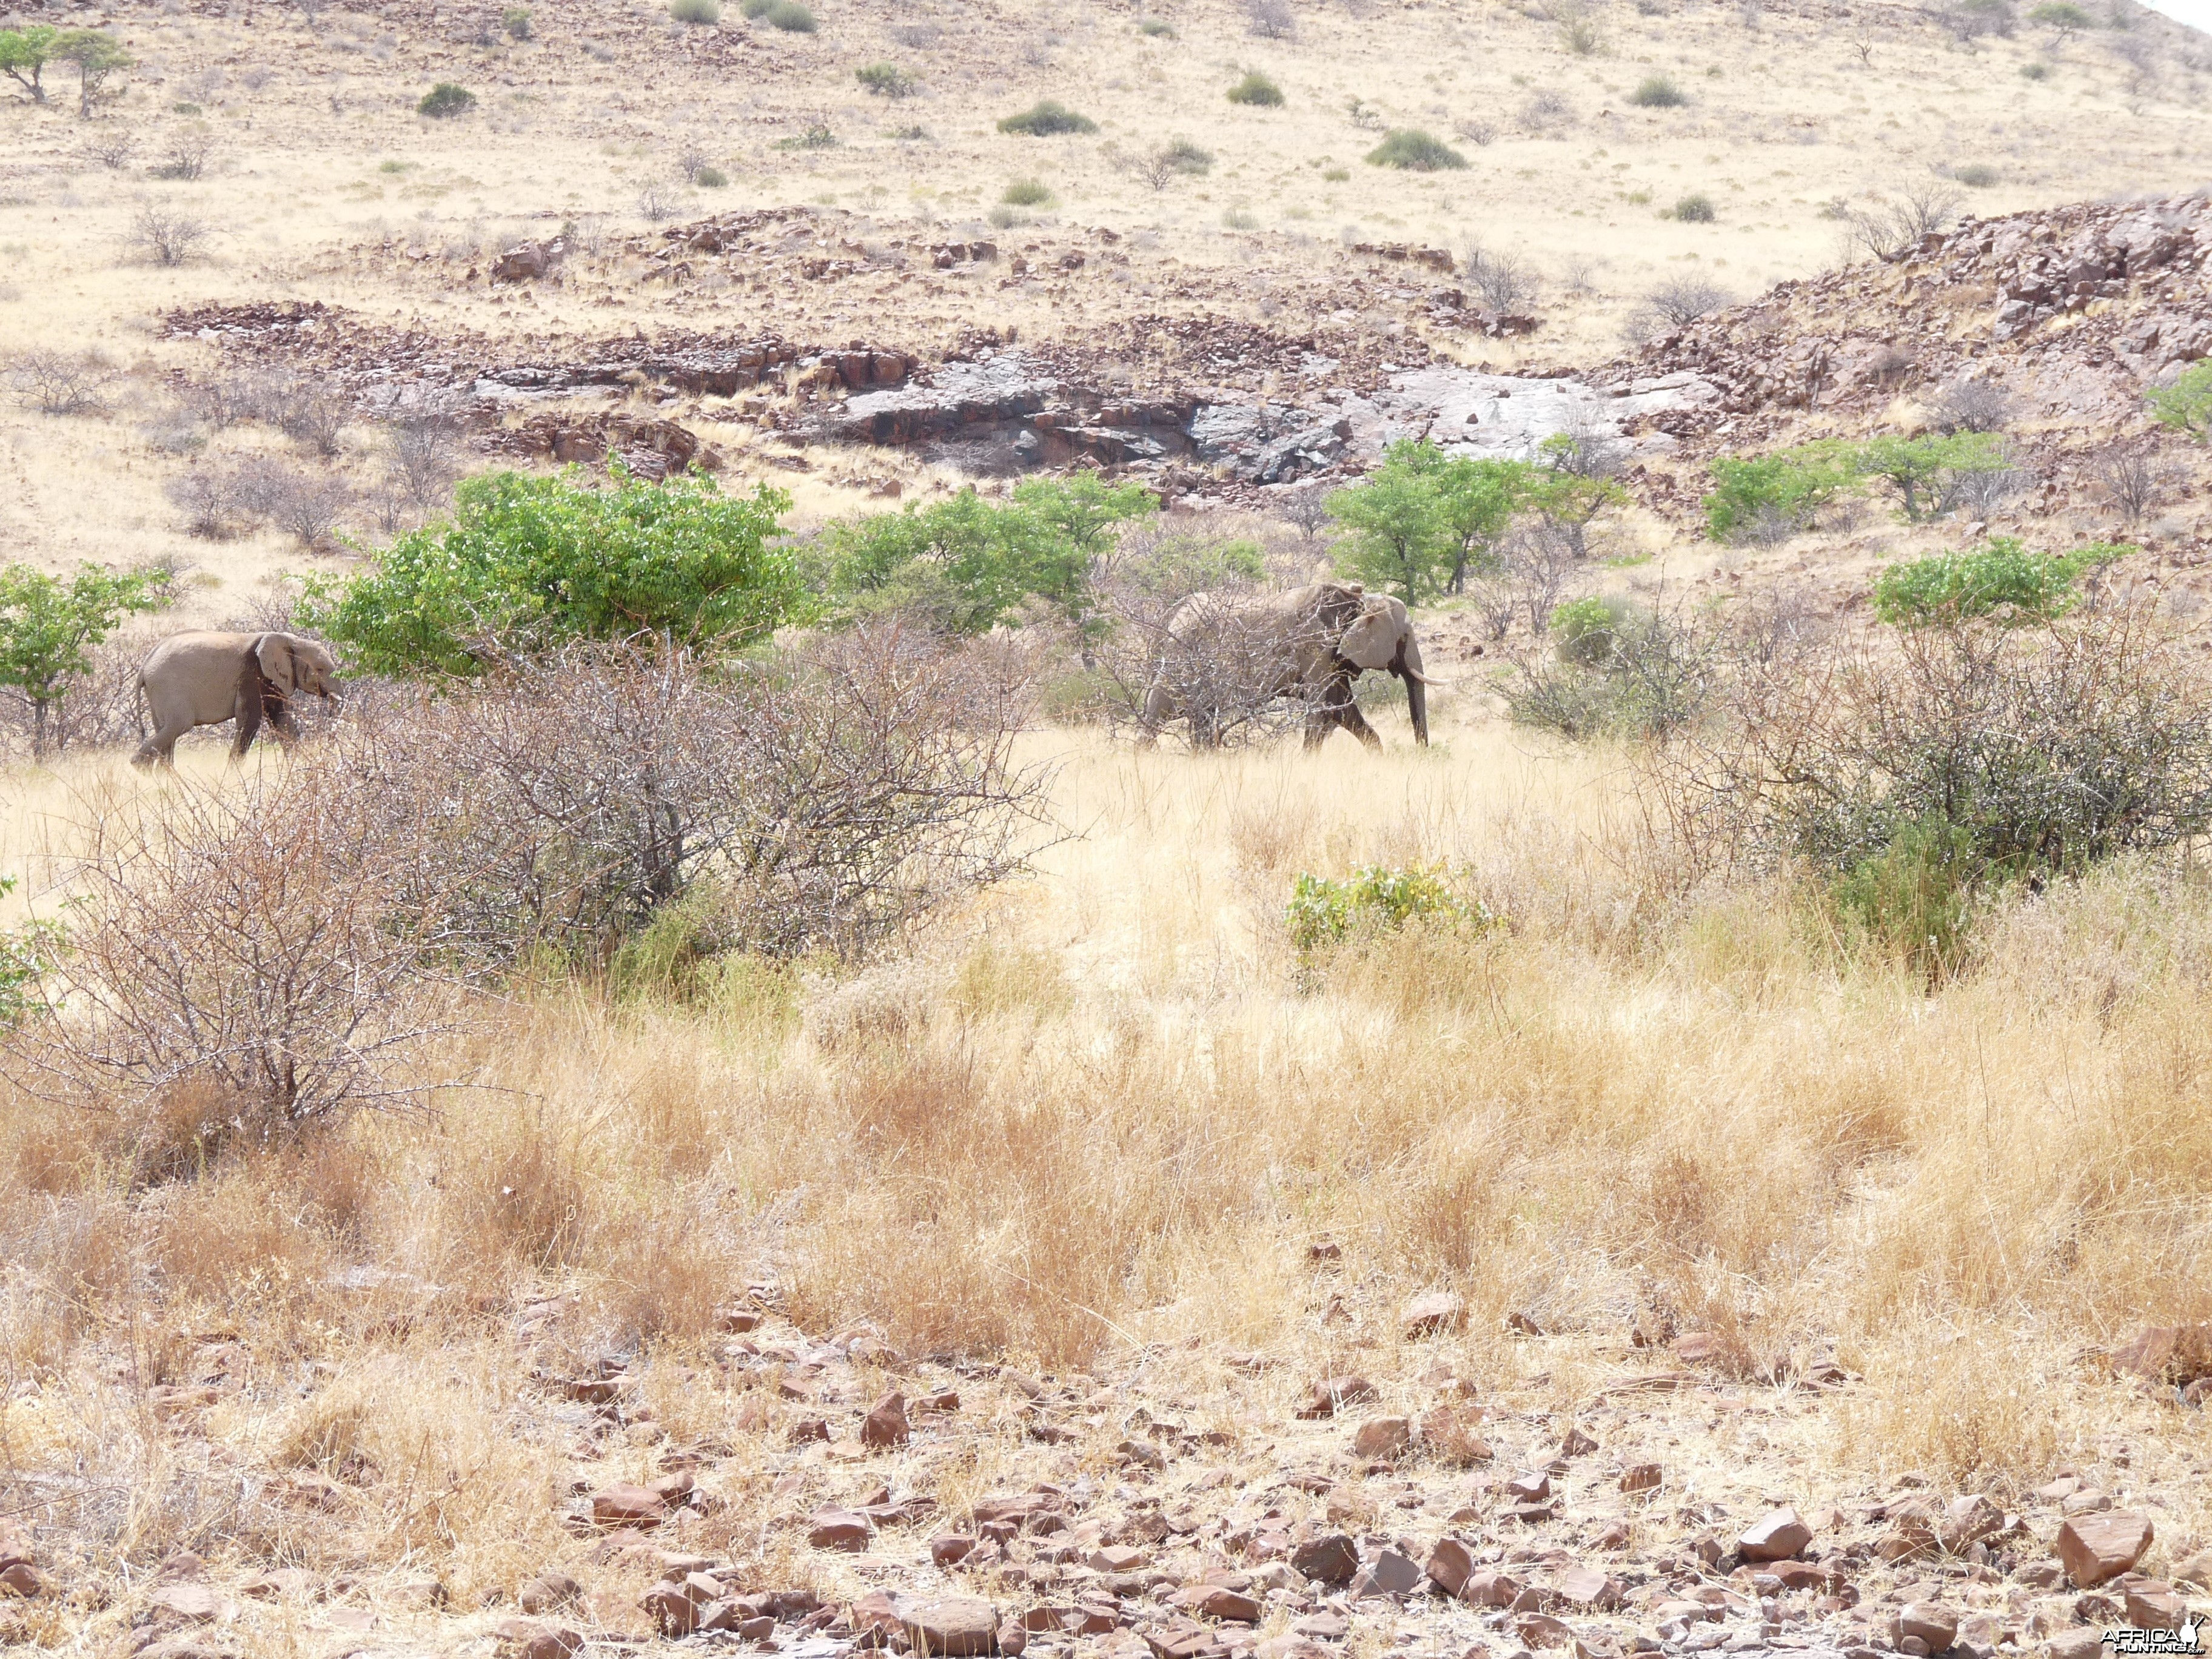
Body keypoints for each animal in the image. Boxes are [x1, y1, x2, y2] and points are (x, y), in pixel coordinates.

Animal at [132, 632, 340, 769]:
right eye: (320, 669)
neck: (290, 639)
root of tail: (144, 666)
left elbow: (282, 720)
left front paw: (298, 765)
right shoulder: (251, 674)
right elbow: (250, 720)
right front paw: (233, 773)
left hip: (158, 693)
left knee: (166, 729)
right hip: (168, 687)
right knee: (179, 725)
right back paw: (140, 769)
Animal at [1141, 579, 1433, 748]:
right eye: (1405, 637)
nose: (1420, 753)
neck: (1359, 601)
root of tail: (1172, 615)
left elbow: (1341, 708)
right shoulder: (1314, 645)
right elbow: (1322, 707)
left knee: (1199, 716)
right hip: (1179, 660)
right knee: (1158, 711)